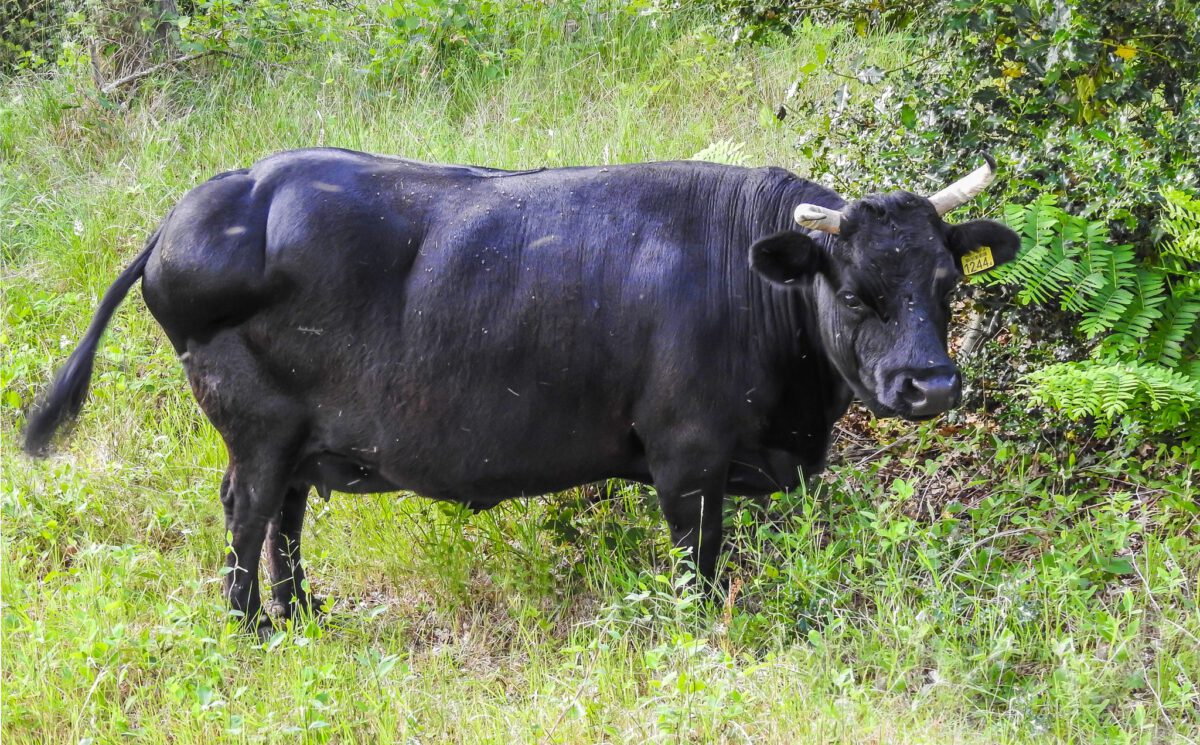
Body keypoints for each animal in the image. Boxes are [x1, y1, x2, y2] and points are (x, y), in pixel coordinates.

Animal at [24, 148, 1019, 639]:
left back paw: (298, 614)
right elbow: (698, 568)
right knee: (246, 510)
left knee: (287, 517)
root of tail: (205, 202)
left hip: (301, 436)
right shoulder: (687, 461)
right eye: (852, 292)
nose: (930, 381)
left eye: (945, 286)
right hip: (255, 426)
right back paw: (248, 631)